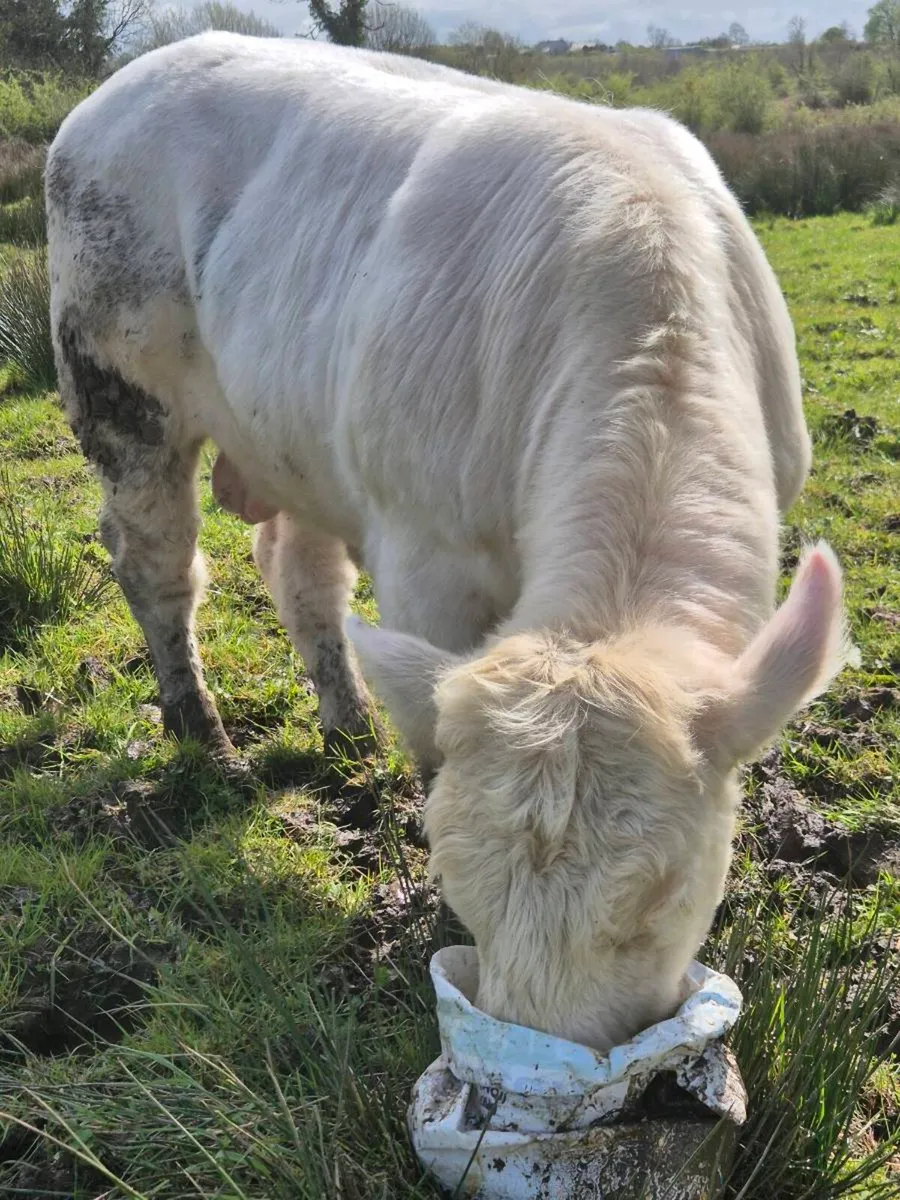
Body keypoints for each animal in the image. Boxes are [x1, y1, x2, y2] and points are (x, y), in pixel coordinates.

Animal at [46, 33, 854, 1050]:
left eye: (664, 900)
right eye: (458, 882)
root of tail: (123, 83)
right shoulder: (421, 550)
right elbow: (434, 738)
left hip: (301, 439)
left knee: (300, 574)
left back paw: (348, 727)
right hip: (114, 385)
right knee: (158, 566)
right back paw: (207, 736)